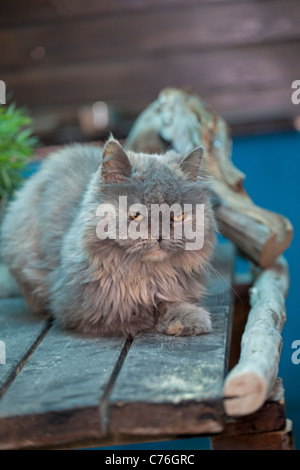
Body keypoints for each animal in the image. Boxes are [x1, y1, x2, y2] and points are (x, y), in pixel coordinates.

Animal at [0, 138, 216, 336]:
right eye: (136, 215)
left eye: (177, 217)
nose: (160, 235)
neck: (148, 274)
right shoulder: (81, 307)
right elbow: (133, 311)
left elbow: (168, 301)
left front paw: (187, 320)